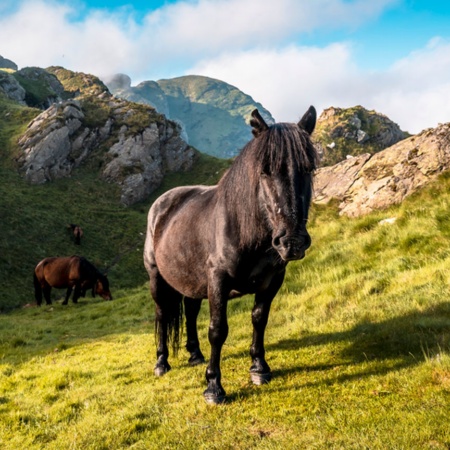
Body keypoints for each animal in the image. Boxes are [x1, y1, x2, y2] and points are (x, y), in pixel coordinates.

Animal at [143, 106, 316, 404]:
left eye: (309, 168)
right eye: (265, 170)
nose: (292, 241)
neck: (246, 229)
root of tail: (162, 203)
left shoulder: (273, 279)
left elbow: (259, 318)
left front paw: (259, 368)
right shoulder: (218, 280)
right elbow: (217, 330)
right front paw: (214, 387)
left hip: (192, 281)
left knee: (190, 312)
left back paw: (195, 354)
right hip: (158, 278)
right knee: (162, 314)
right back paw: (162, 363)